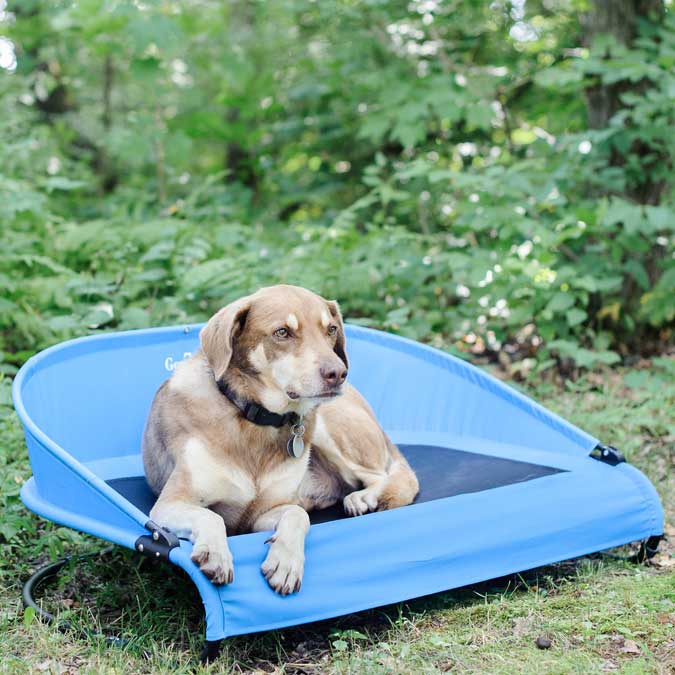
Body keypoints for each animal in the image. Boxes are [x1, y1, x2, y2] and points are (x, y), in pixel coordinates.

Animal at [142, 286, 418, 596]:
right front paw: (216, 553)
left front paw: (285, 563)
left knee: (389, 477)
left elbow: (298, 515)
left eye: (331, 329)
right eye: (282, 332)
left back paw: (364, 497)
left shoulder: (262, 513)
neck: (254, 420)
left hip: (330, 428)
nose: (338, 374)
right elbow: (212, 517)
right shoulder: (170, 505)